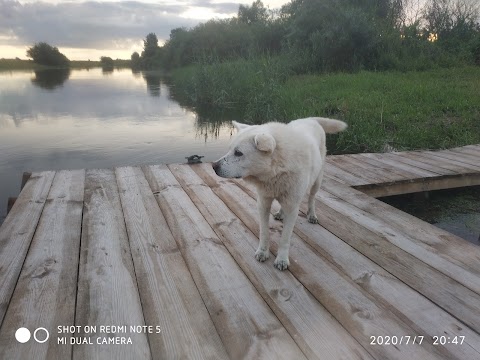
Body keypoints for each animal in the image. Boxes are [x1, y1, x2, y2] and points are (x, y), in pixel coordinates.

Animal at [212, 116, 346, 268]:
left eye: (239, 153)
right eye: (230, 149)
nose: (214, 166)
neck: (277, 169)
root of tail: (311, 118)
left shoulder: (292, 208)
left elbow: (285, 238)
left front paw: (282, 259)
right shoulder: (263, 203)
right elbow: (264, 232)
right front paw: (263, 252)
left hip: (317, 180)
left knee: (312, 197)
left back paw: (311, 214)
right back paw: (281, 213)